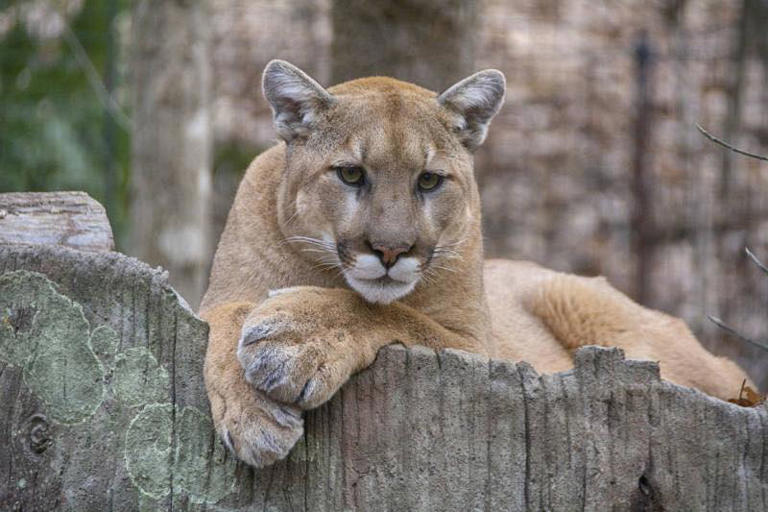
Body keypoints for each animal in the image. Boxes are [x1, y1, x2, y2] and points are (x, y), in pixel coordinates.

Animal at [200, 60, 750, 467]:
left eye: (428, 180)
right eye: (351, 174)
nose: (391, 251)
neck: (324, 273)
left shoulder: (479, 348)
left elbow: (396, 315)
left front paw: (295, 337)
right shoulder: (216, 301)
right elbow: (226, 318)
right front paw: (254, 416)